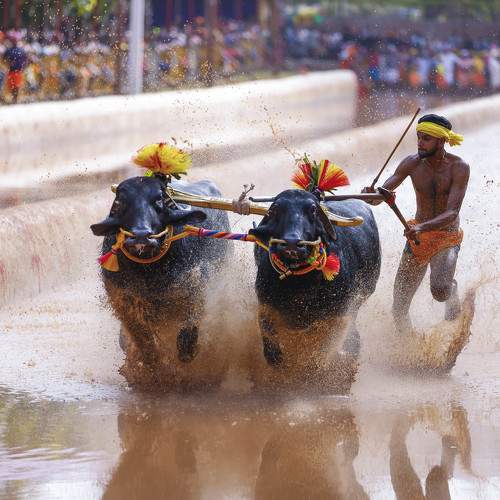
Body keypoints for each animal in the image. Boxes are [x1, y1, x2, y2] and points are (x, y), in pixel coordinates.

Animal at [91, 175, 231, 390]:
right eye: (121, 202)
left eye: (158, 200)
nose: (141, 236)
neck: (149, 271)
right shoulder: (122, 298)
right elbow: (142, 338)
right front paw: (150, 368)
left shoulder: (196, 283)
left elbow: (188, 328)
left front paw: (186, 353)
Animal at [249, 189, 381, 391]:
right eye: (276, 209)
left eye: (312, 210)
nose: (292, 243)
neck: (299, 283)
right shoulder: (265, 303)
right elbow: (268, 333)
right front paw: (277, 360)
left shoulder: (338, 313)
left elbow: (323, 348)